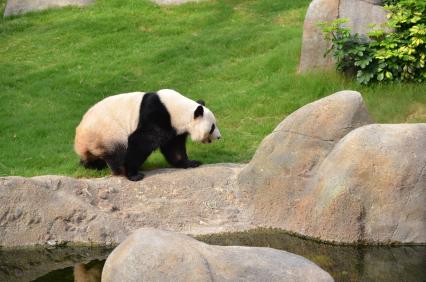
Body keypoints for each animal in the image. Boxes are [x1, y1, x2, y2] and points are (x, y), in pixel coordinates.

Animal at [73, 89, 221, 182]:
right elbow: (140, 141)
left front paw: (190, 163)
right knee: (118, 151)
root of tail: (80, 140)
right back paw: (123, 170)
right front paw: (133, 174)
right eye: (213, 127)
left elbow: (174, 147)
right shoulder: (157, 116)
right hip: (109, 132)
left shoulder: (173, 127)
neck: (178, 110)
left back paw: (93, 165)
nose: (219, 137)